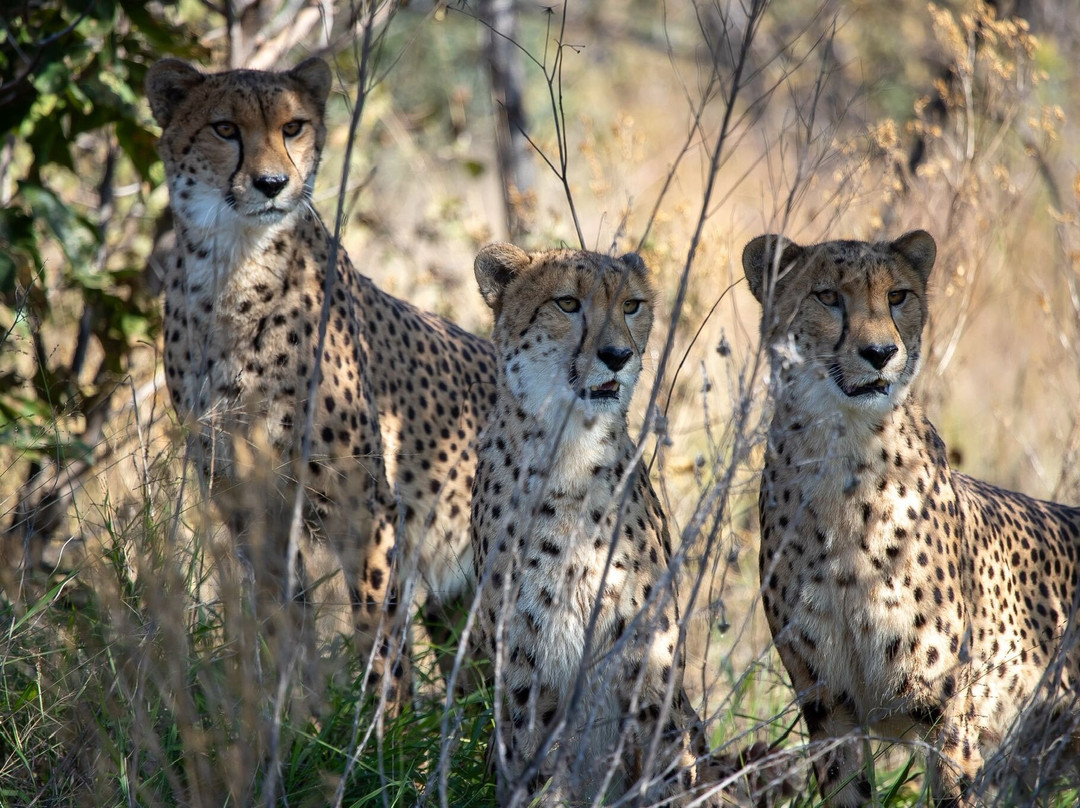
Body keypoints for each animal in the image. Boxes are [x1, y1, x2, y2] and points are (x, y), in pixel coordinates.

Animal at [146, 57, 497, 703]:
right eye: (225, 128)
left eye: (294, 126)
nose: (271, 184)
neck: (234, 268)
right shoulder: (249, 503)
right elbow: (282, 619)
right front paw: (296, 710)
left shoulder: (366, 503)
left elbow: (379, 627)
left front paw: (384, 721)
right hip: (464, 602)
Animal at [469, 243, 726, 806]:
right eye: (567, 303)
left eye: (631, 305)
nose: (618, 355)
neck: (570, 451)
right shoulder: (524, 660)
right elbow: (535, 759)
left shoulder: (645, 657)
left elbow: (660, 755)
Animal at [743, 229, 1080, 805]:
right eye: (827, 296)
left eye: (897, 296)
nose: (880, 353)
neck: (847, 458)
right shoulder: (830, 709)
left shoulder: (949, 715)